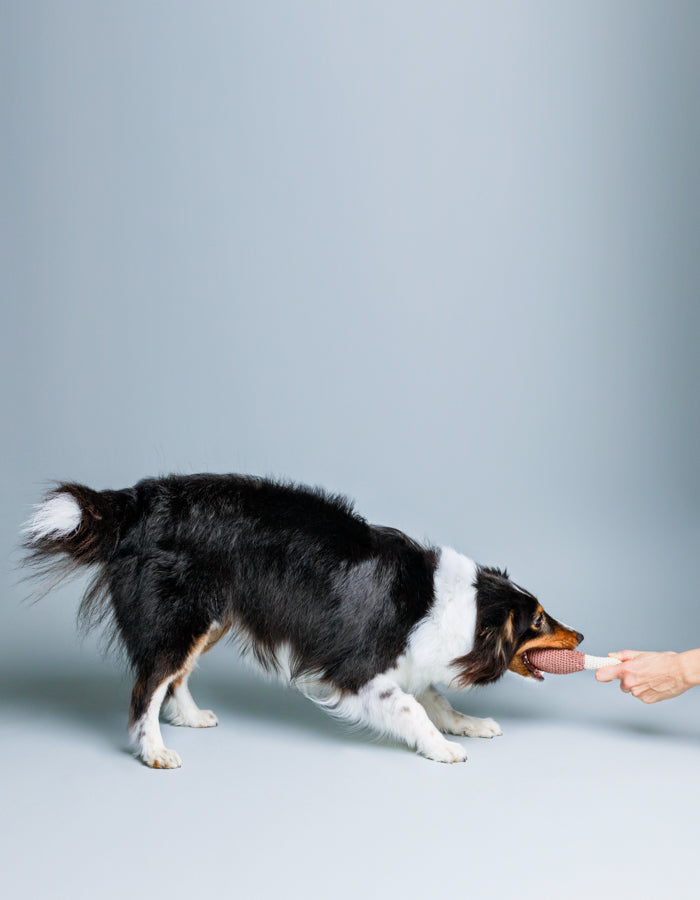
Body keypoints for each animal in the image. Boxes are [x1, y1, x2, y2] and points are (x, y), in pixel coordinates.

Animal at [21, 472, 584, 768]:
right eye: (537, 621)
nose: (580, 634)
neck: (458, 607)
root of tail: (138, 500)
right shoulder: (359, 671)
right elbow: (411, 708)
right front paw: (444, 748)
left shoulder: (407, 659)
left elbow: (437, 700)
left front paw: (469, 725)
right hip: (180, 617)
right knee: (147, 687)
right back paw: (155, 750)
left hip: (209, 619)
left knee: (172, 676)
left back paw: (190, 718)